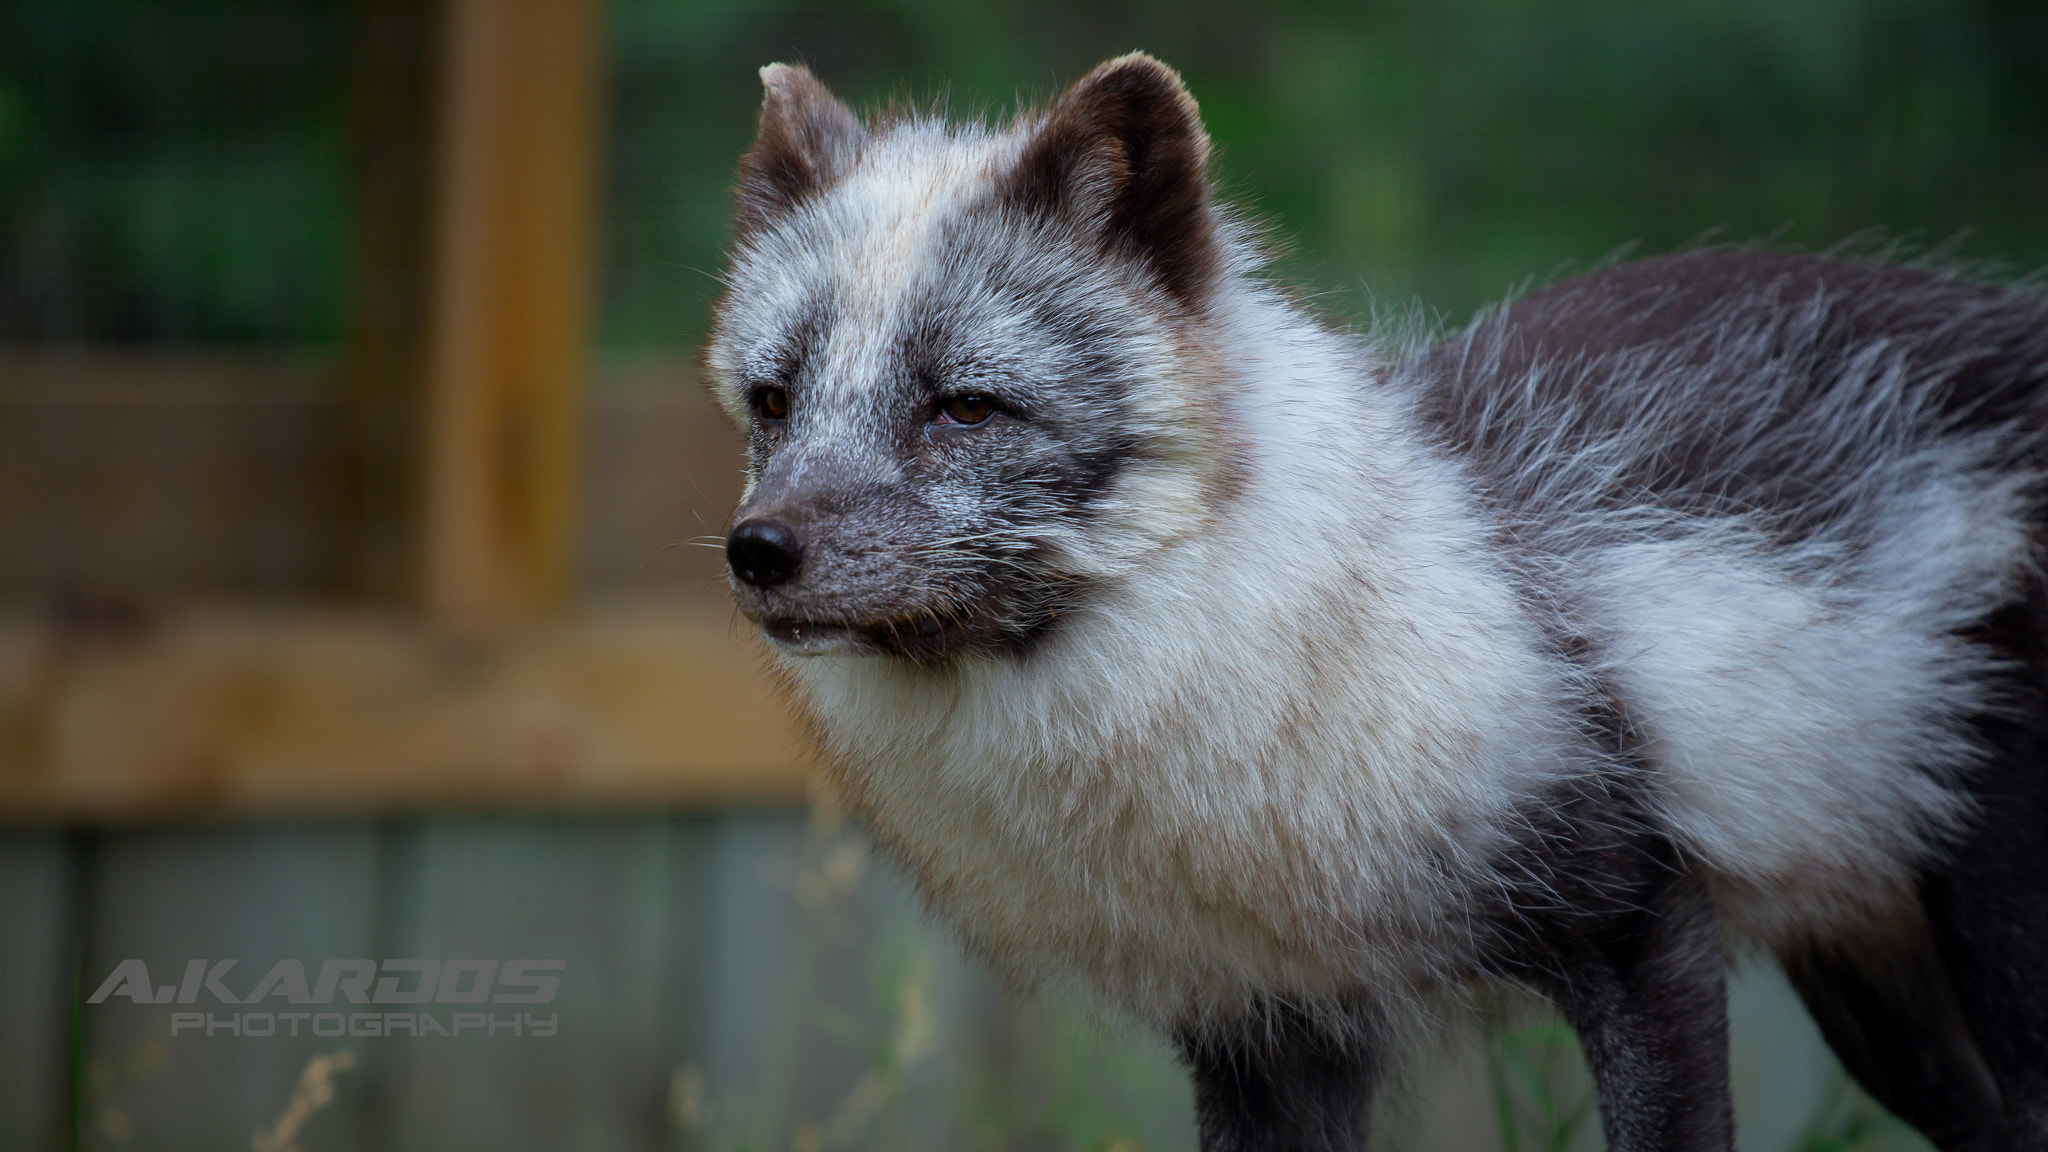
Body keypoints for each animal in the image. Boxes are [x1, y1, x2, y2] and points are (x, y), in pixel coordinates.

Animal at [704, 53, 2048, 1147]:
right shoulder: (1267, 1030)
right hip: (1885, 1006)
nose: (754, 553)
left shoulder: (1639, 924)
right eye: (772, 401)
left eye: (965, 407)